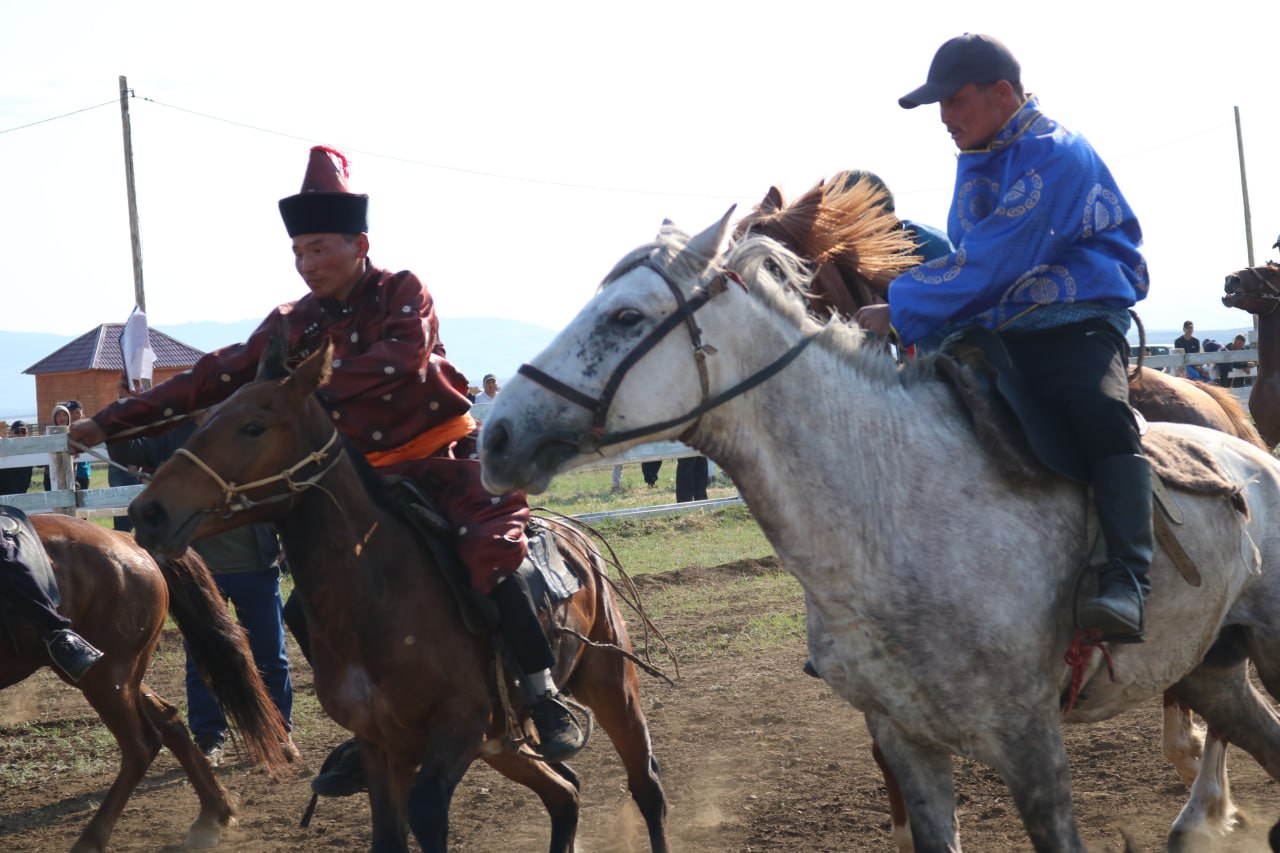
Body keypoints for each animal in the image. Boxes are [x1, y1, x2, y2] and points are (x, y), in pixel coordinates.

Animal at [1, 512, 288, 850]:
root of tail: (127, 541)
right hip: (120, 676)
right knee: (169, 720)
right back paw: (212, 814)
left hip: (106, 675)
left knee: (142, 746)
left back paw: (92, 838)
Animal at [124, 338, 670, 850]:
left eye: (253, 426)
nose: (149, 512)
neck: (378, 595)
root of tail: (573, 536)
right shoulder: (382, 745)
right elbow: (389, 834)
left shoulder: (458, 727)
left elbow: (426, 813)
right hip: (504, 744)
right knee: (565, 794)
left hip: (609, 686)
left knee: (645, 787)